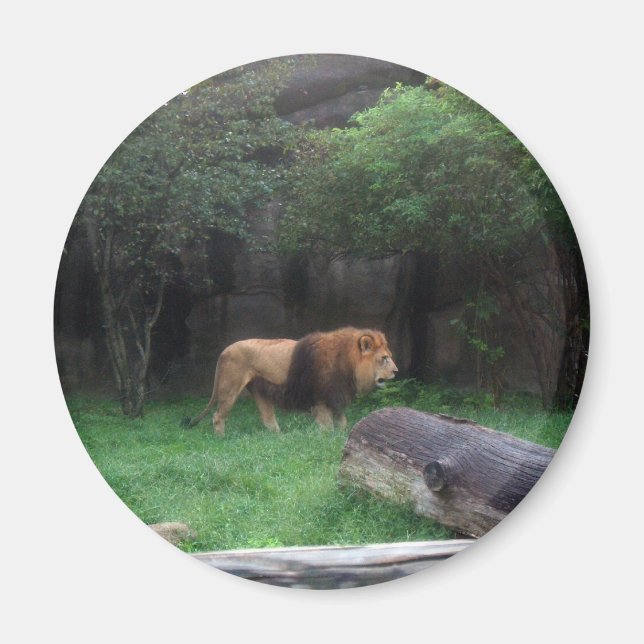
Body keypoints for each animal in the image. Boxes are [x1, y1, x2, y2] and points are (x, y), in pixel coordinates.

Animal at [182, 327, 397, 435]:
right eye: (384, 358)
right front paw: (326, 438)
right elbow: (327, 426)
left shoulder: (336, 397)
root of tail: (225, 350)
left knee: (268, 418)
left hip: (259, 390)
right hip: (230, 388)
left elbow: (343, 423)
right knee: (217, 416)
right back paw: (222, 438)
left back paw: (277, 436)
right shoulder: (321, 399)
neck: (348, 363)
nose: (396, 371)